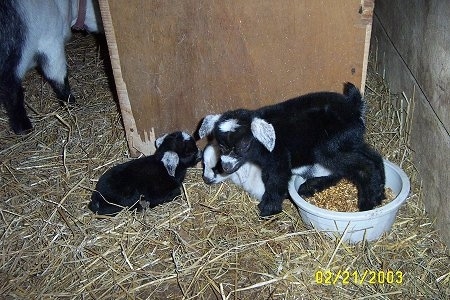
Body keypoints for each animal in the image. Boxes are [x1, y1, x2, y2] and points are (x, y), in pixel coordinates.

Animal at [200, 83, 386, 217]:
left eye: (243, 145)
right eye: (221, 146)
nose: (226, 167)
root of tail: (353, 107)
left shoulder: (278, 156)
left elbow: (276, 179)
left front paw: (268, 208)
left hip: (331, 147)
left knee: (363, 166)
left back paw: (367, 203)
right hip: (349, 141)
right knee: (374, 157)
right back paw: (378, 192)